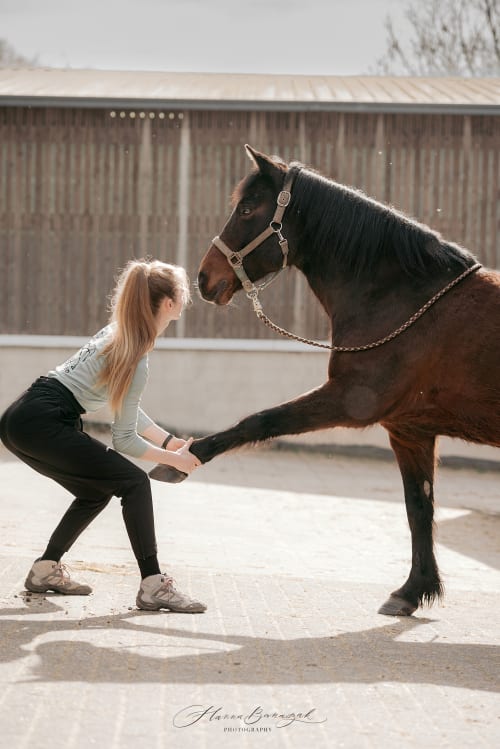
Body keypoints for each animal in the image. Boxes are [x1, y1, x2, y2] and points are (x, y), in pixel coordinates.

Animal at [150, 145, 500, 617]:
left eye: (247, 208)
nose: (205, 278)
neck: (407, 300)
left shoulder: (349, 401)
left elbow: (259, 421)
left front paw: (182, 460)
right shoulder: (410, 430)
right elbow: (419, 508)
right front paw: (412, 591)